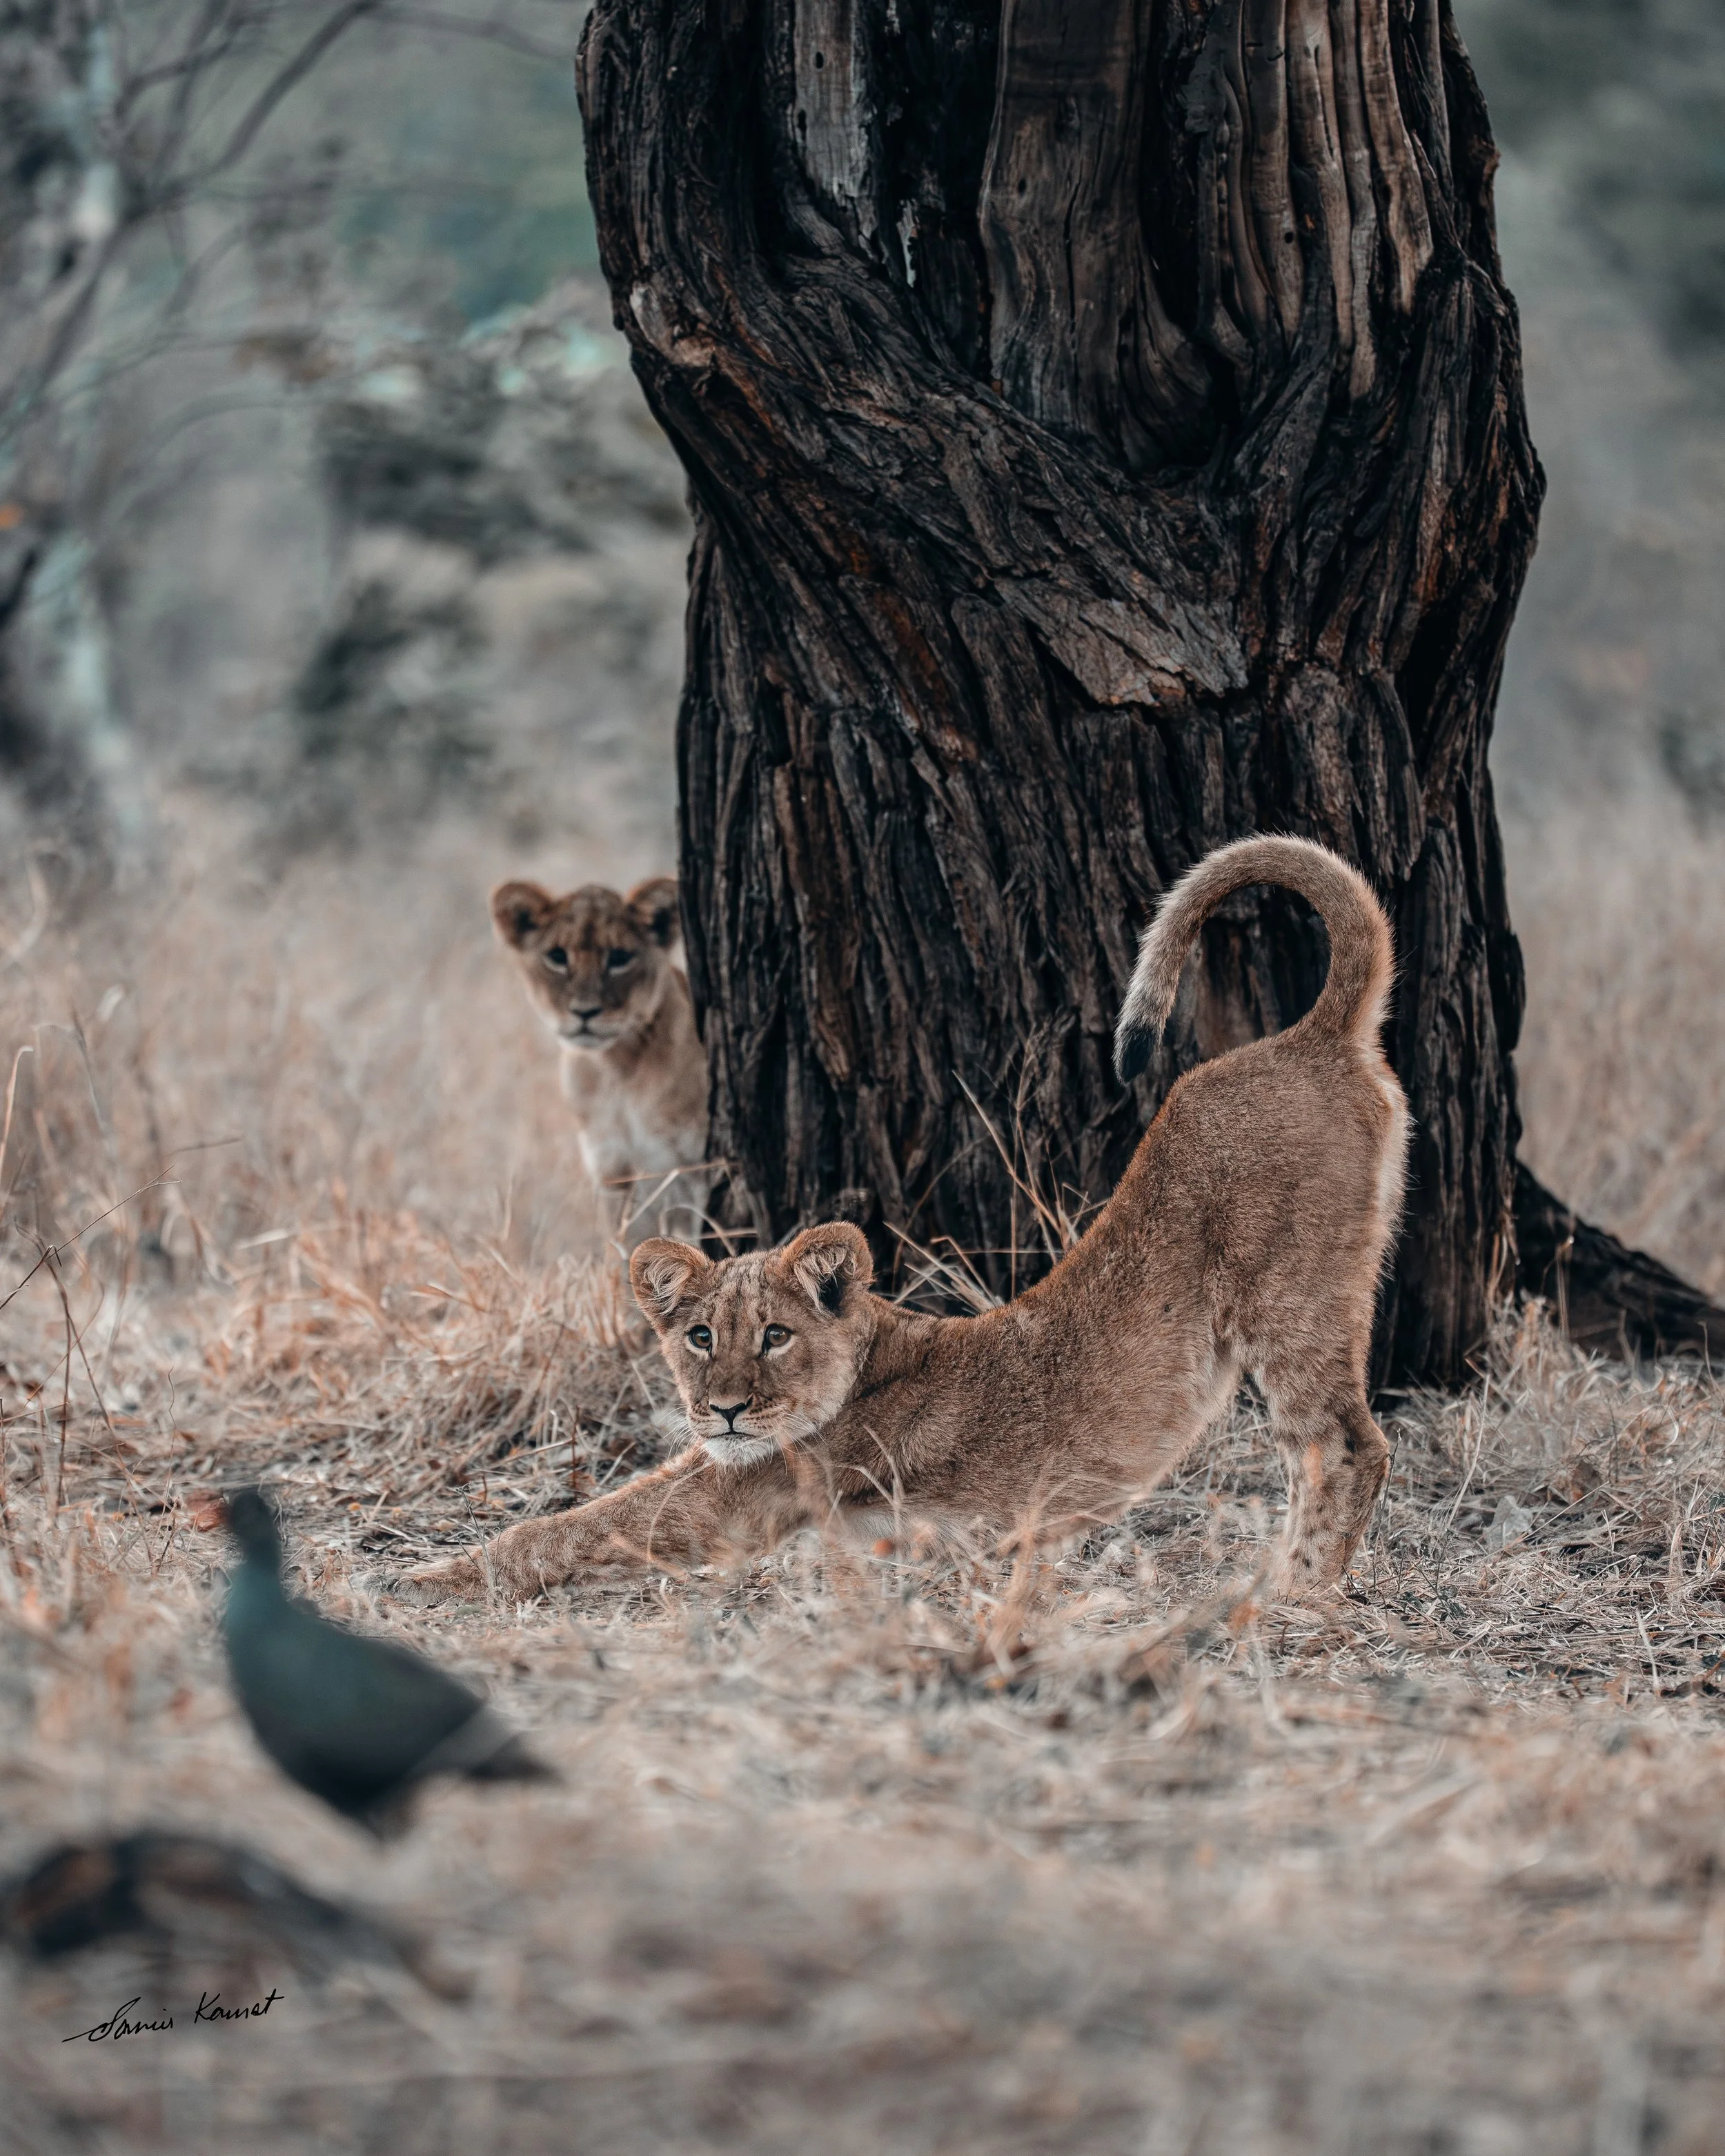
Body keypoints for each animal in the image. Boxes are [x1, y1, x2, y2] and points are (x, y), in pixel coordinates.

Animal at [491, 873, 712, 1248]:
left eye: (620, 957)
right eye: (557, 956)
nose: (585, 1012)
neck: (617, 1069)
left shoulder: (690, 1171)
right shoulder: (612, 1172)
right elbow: (626, 1245)